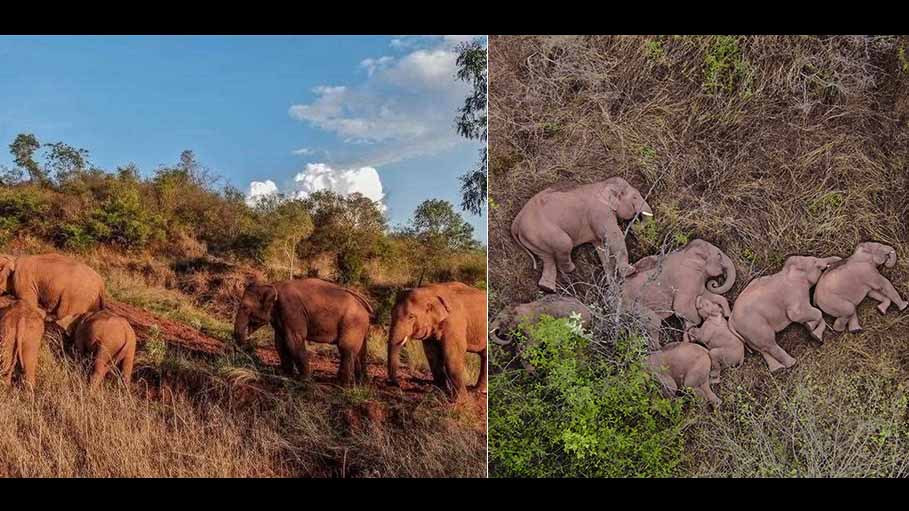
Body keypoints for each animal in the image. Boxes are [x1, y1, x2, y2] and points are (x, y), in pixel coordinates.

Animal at [238, 278, 376, 386]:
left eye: (245, 307)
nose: (248, 345)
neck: (273, 285)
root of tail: (365, 306)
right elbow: (279, 342)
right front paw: (285, 375)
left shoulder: (291, 310)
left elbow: (293, 340)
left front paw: (304, 380)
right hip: (360, 327)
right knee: (361, 351)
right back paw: (361, 383)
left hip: (352, 323)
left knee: (346, 348)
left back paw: (340, 385)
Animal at [510, 178, 652, 292]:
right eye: (635, 197)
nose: (634, 224)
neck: (602, 184)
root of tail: (516, 221)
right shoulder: (600, 212)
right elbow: (613, 236)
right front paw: (630, 271)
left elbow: (601, 247)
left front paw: (612, 286)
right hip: (542, 231)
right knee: (564, 244)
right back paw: (571, 269)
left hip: (533, 239)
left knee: (547, 258)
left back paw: (547, 288)